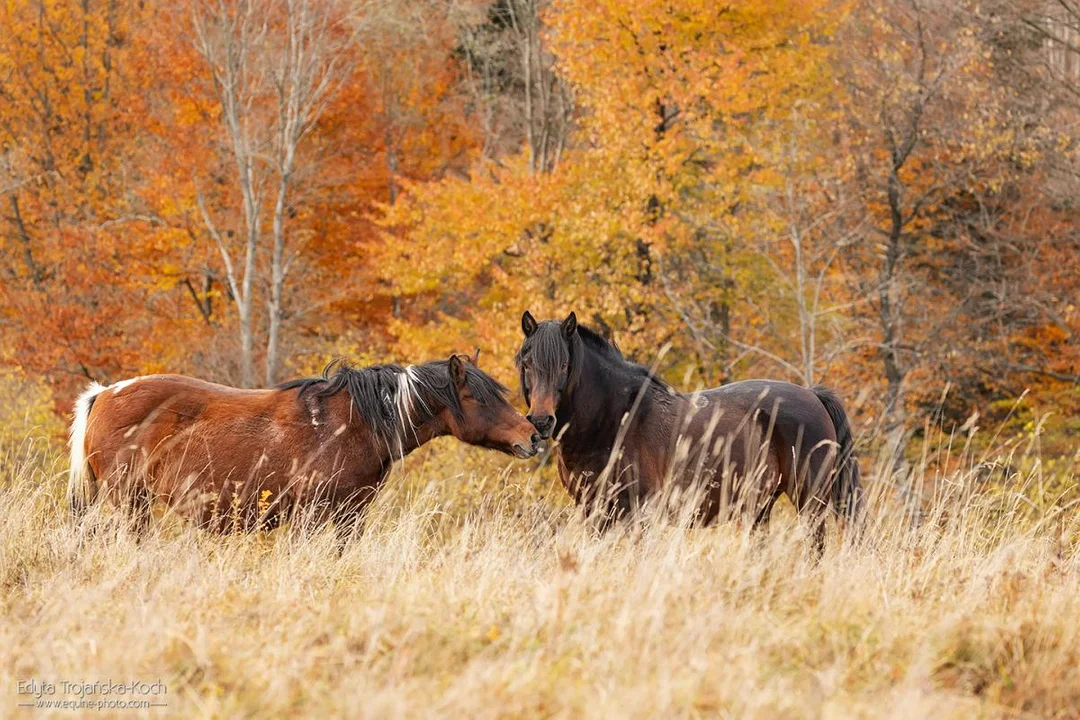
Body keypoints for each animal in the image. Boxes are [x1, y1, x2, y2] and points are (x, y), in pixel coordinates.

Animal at [67, 356, 540, 535]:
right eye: (479, 398)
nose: (534, 434)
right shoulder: (312, 518)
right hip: (130, 504)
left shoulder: (350, 517)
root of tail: (105, 393)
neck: (352, 423)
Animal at [514, 313, 859, 544]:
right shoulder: (594, 510)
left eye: (563, 365)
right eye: (527, 364)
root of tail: (813, 395)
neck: (613, 417)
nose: (542, 421)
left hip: (810, 503)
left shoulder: (634, 513)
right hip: (759, 507)